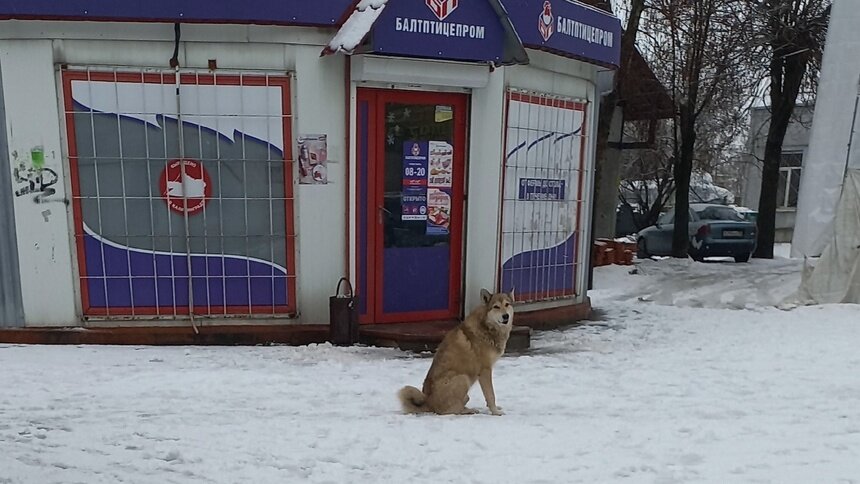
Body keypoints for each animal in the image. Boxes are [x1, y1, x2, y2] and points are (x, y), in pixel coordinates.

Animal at [400, 288, 512, 416]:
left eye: (507, 304)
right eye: (496, 307)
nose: (506, 316)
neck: (486, 326)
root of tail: (428, 403)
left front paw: (494, 408)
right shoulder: (485, 370)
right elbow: (490, 394)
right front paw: (495, 412)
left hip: (465, 390)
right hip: (463, 378)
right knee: (450, 410)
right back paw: (469, 410)